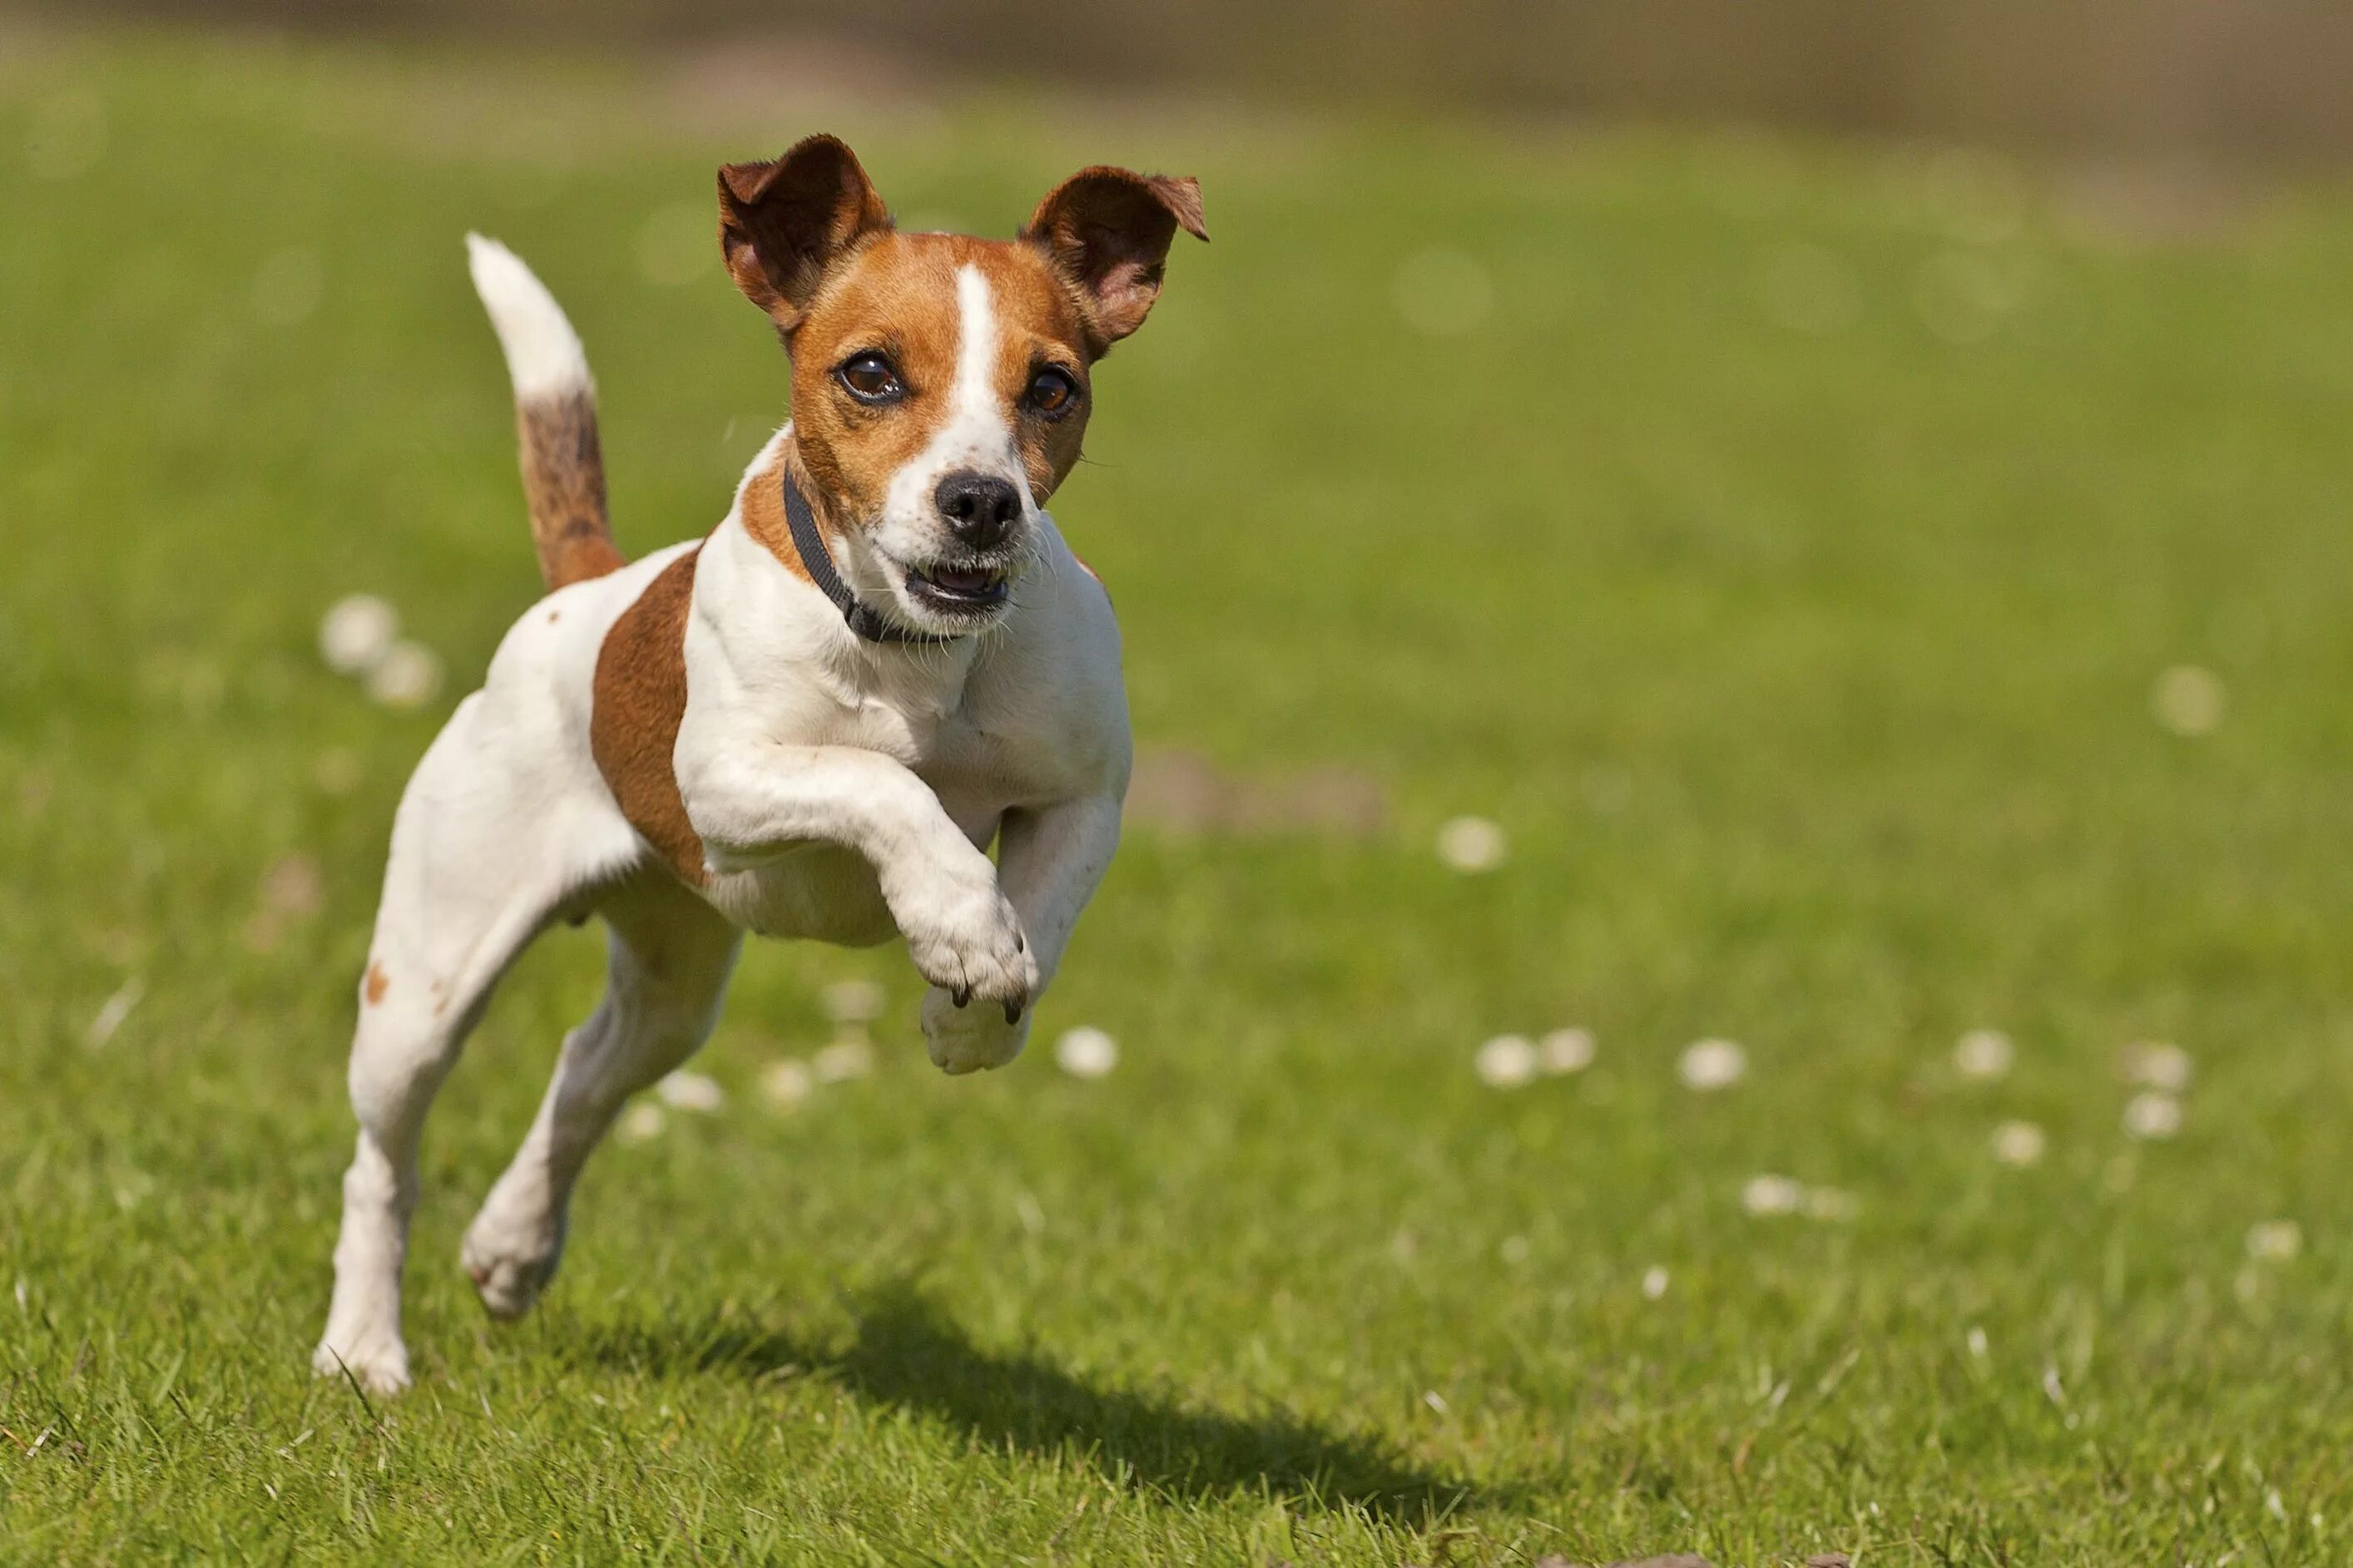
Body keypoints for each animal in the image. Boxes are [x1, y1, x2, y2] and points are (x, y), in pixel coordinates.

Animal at [313, 128, 1204, 1392]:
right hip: (427, 982)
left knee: (585, 1072)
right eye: (871, 374)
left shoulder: (1084, 795)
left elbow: (1041, 907)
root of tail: (589, 587)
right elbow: (880, 782)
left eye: (1052, 387)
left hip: (675, 981)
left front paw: (978, 1006)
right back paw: (361, 1348)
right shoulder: (726, 782)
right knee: (381, 1164)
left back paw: (512, 1244)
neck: (918, 653)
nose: (982, 502)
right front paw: (959, 923)